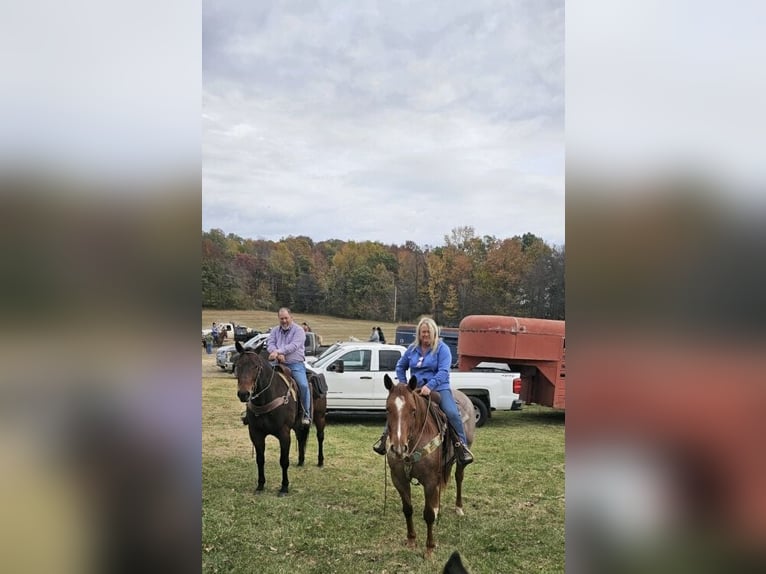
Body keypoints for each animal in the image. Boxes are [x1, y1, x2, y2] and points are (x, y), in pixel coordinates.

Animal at [237, 340, 328, 498]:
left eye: (256, 366)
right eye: (238, 365)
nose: (243, 394)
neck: (267, 398)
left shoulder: (284, 434)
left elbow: (284, 461)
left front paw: (284, 487)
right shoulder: (256, 434)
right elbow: (260, 460)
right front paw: (260, 485)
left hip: (320, 417)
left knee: (320, 437)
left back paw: (320, 461)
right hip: (298, 425)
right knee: (301, 437)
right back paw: (301, 461)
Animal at [382, 374, 474, 560]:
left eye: (413, 410)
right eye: (388, 409)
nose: (398, 449)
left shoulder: (429, 481)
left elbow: (429, 515)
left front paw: (429, 548)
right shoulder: (399, 479)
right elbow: (408, 509)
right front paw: (411, 540)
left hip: (460, 460)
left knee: (459, 478)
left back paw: (459, 508)